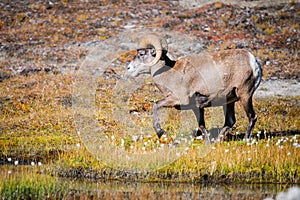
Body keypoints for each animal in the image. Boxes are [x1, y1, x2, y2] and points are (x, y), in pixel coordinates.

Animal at [126, 33, 262, 142]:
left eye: (141, 54)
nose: (128, 68)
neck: (169, 74)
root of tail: (253, 61)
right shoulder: (197, 107)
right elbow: (201, 125)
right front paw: (207, 142)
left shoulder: (177, 99)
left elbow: (156, 105)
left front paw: (160, 133)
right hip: (229, 101)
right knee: (230, 121)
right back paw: (217, 142)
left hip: (245, 95)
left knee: (252, 117)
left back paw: (245, 140)